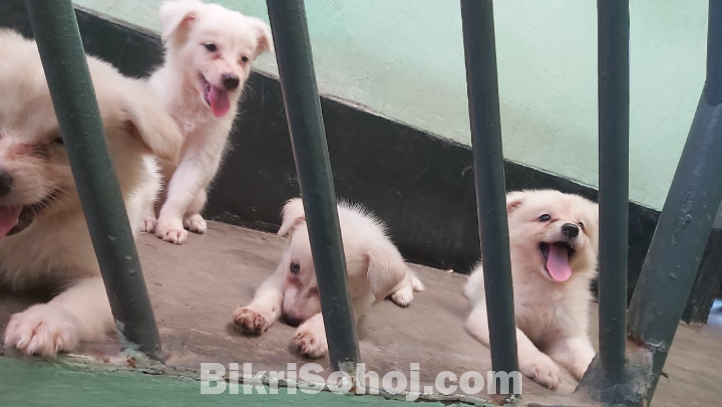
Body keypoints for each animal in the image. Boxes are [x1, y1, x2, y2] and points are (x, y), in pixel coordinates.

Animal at [146, 0, 272, 245]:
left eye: (244, 59)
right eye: (211, 47)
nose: (232, 80)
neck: (192, 104)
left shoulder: (200, 157)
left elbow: (180, 195)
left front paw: (171, 225)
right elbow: (147, 184)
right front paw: (144, 217)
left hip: (201, 192)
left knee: (190, 204)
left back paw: (193, 219)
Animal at [231, 199, 422, 358]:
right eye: (294, 267)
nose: (290, 319)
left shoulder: (358, 301)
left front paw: (314, 334)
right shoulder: (280, 274)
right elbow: (270, 295)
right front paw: (255, 313)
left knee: (405, 278)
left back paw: (404, 295)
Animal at [464, 190, 600, 390]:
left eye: (581, 225)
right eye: (545, 217)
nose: (571, 228)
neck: (545, 283)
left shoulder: (568, 335)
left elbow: (585, 356)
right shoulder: (493, 318)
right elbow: (522, 342)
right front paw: (542, 366)